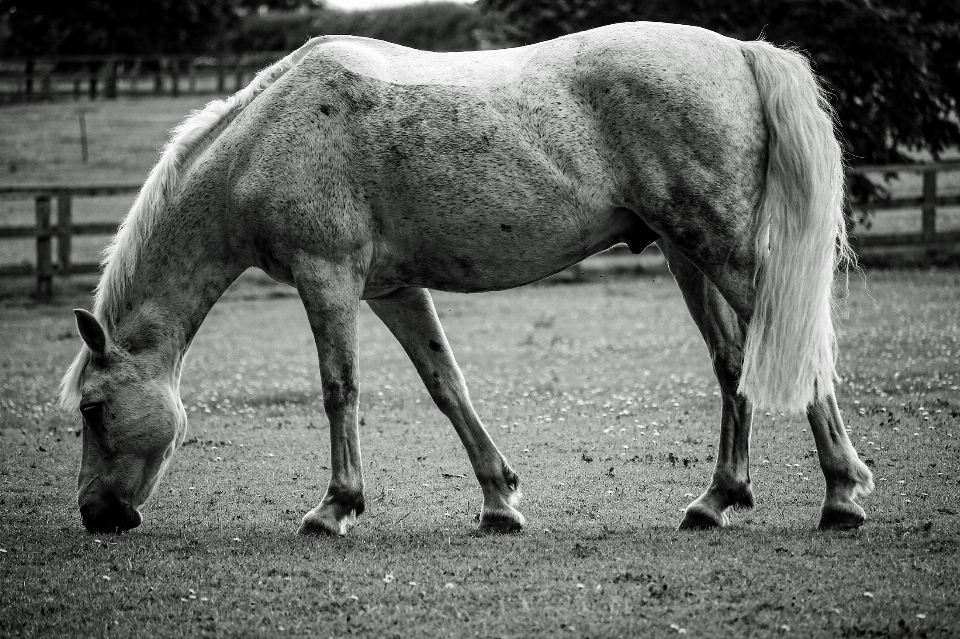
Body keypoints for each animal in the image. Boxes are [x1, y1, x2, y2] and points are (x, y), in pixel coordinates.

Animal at [56, 22, 872, 536]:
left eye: (94, 409)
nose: (96, 514)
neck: (265, 137)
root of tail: (739, 52)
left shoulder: (328, 278)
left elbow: (338, 389)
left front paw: (335, 507)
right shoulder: (390, 289)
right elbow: (446, 384)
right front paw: (499, 502)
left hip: (719, 248)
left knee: (796, 353)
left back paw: (841, 495)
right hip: (684, 252)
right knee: (732, 363)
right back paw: (715, 500)